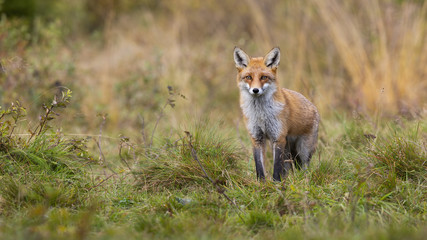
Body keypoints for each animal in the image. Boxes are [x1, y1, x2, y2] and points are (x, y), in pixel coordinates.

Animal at [234, 47, 320, 181]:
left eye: (263, 77)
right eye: (248, 77)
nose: (255, 90)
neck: (261, 114)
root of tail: (313, 106)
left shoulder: (278, 137)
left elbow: (276, 168)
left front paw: (276, 183)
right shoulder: (256, 138)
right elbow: (259, 167)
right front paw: (262, 183)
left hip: (303, 150)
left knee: (304, 168)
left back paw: (304, 180)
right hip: (288, 150)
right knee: (288, 168)